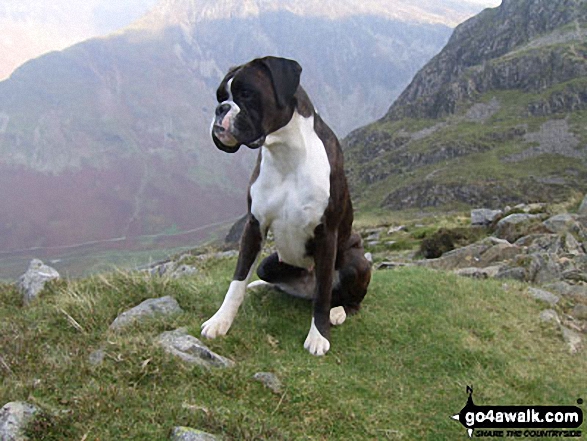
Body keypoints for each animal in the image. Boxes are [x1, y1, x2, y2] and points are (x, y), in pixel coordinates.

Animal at [200, 56, 370, 356]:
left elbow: (323, 292)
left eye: (246, 93)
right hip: (269, 264)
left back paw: (339, 311)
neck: (286, 152)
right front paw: (220, 321)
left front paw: (318, 335)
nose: (221, 109)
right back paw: (261, 285)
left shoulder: (327, 234)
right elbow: (237, 280)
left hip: (357, 262)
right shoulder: (254, 227)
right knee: (271, 279)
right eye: (220, 97)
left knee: (345, 298)